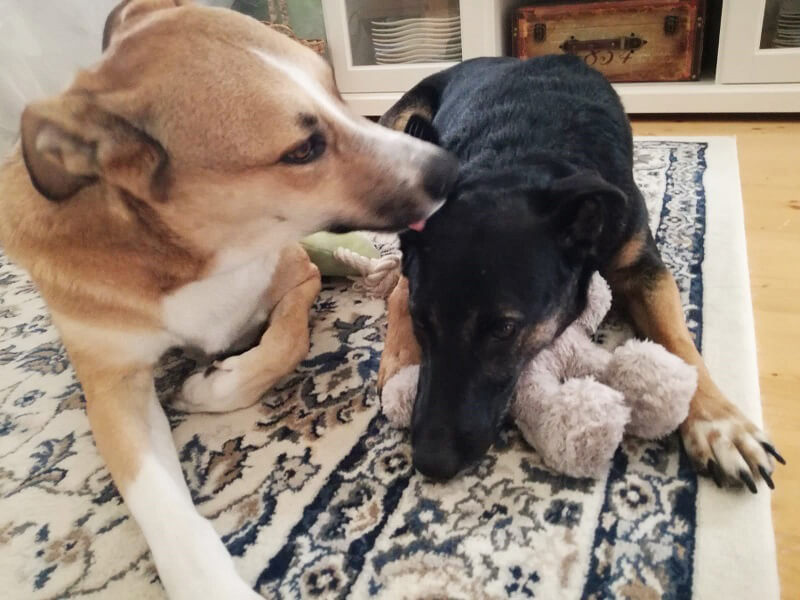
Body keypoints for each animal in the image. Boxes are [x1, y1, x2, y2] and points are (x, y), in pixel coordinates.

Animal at [0, 1, 457, 597]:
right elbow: (157, 499)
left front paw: (205, 387)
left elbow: (286, 342)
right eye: (302, 150)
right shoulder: (110, 382)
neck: (191, 257)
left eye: (338, 93)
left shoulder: (298, 276)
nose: (453, 169)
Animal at [377, 56, 784, 490]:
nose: (430, 463)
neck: (518, 159)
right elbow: (401, 291)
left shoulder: (642, 268)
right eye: (422, 320)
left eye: (504, 329)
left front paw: (720, 424)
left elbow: (679, 341)